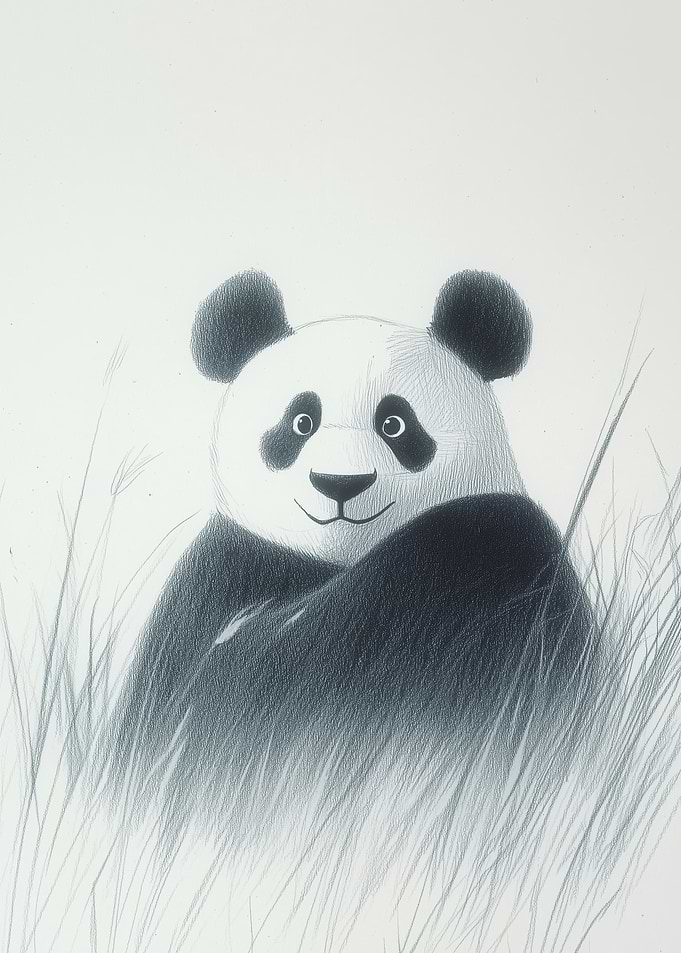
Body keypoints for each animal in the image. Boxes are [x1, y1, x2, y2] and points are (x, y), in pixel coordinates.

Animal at [112, 269, 595, 801]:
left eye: (395, 423)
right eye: (301, 421)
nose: (340, 483)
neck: (335, 561)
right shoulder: (217, 584)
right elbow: (239, 681)